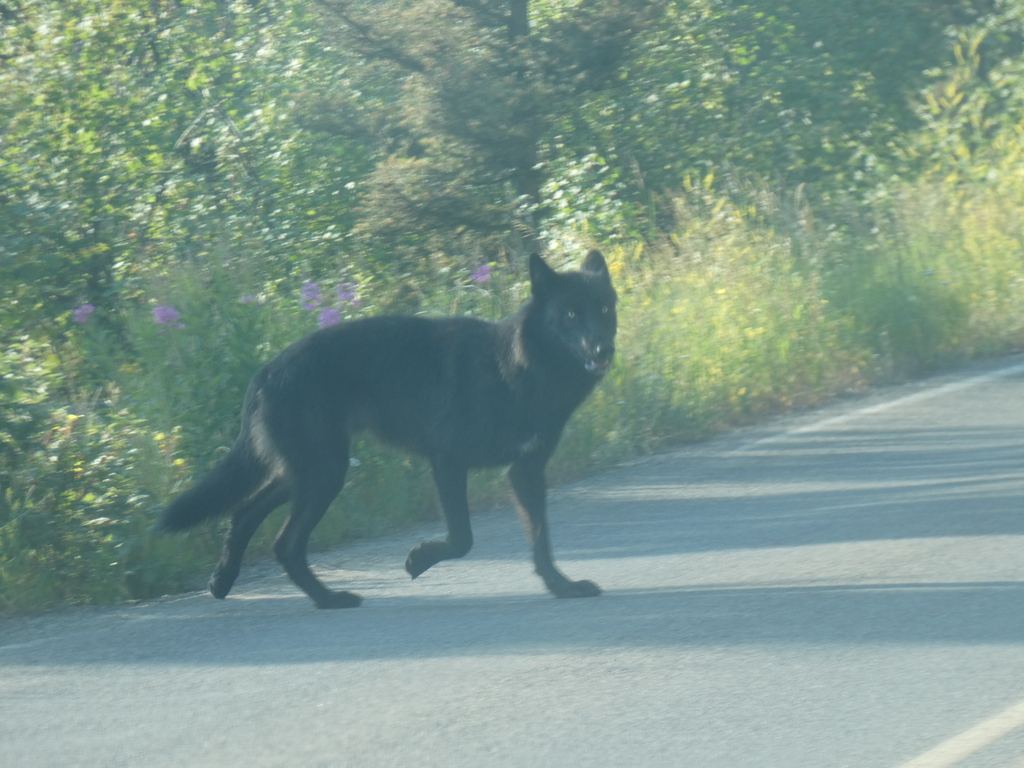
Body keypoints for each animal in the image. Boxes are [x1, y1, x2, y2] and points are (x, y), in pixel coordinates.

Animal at [156, 250, 617, 608]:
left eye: (605, 309)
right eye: (571, 313)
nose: (604, 349)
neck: (518, 367)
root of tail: (265, 372)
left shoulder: (526, 473)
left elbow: (540, 541)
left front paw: (561, 588)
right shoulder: (448, 461)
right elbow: (463, 539)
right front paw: (420, 559)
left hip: (309, 473)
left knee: (244, 513)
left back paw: (225, 581)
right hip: (323, 474)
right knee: (284, 543)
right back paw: (328, 600)